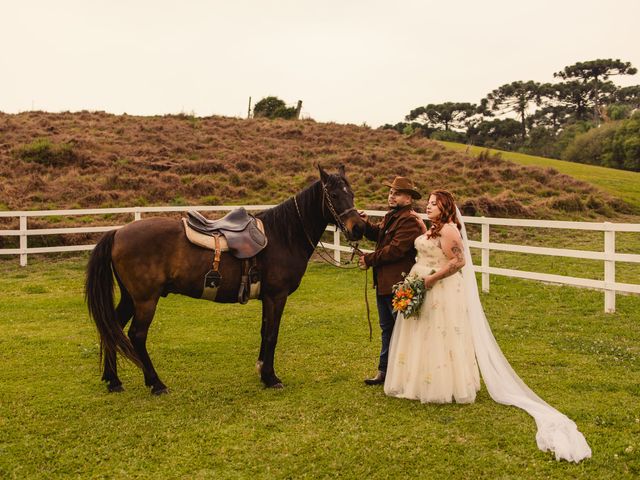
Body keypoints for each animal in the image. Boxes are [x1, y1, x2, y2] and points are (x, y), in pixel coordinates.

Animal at [85, 165, 364, 394]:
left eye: (351, 193)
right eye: (334, 195)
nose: (358, 228)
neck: (282, 236)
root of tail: (118, 232)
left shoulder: (267, 297)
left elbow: (264, 332)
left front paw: (262, 371)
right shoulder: (276, 296)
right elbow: (272, 334)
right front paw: (271, 378)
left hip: (130, 298)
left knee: (112, 327)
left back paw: (113, 380)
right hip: (145, 300)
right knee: (136, 335)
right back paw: (156, 383)